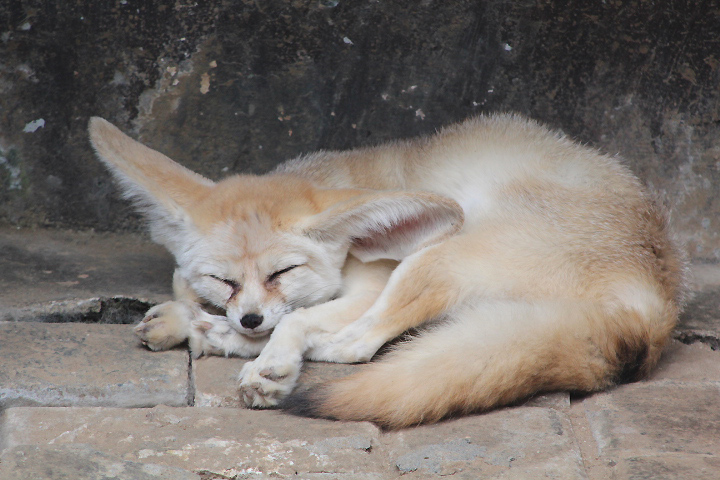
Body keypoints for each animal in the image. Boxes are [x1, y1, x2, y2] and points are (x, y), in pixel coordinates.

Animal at [88, 113, 686, 429]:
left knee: (358, 347)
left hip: (436, 259)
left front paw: (268, 353)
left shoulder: (368, 283)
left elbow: (298, 319)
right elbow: (196, 290)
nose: (250, 318)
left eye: (284, 271)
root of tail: (653, 306)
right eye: (225, 280)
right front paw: (205, 321)